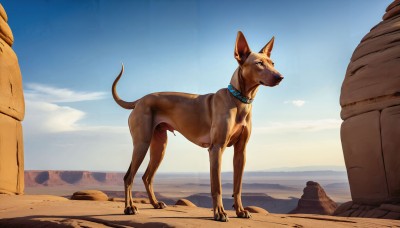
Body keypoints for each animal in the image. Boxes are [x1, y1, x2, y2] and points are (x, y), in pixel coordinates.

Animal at [111, 31, 282, 222]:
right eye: (259, 63)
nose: (280, 77)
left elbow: (237, 187)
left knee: (147, 177)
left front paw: (240, 211)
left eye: (272, 63)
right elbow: (217, 187)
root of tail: (140, 100)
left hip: (159, 146)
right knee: (128, 177)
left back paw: (155, 203)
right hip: (142, 143)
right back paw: (129, 207)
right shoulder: (216, 149)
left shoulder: (241, 151)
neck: (239, 100)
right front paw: (219, 213)